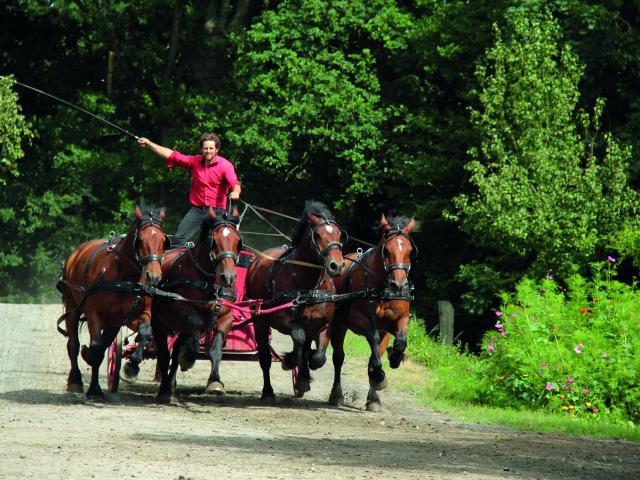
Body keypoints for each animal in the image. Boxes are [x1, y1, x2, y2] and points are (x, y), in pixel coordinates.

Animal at [57, 203, 169, 402]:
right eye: (140, 240)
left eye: (163, 241)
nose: (154, 276)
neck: (124, 276)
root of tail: (76, 252)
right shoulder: (95, 314)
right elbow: (94, 348)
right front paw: (93, 386)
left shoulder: (132, 316)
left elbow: (145, 332)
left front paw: (132, 365)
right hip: (72, 307)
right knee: (73, 345)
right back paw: (75, 380)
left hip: (112, 323)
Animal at [151, 206, 241, 402]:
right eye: (214, 241)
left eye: (238, 241)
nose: (228, 277)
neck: (210, 282)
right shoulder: (181, 307)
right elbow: (196, 323)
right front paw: (188, 358)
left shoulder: (225, 317)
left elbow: (215, 349)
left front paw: (215, 382)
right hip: (159, 323)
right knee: (165, 353)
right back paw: (164, 388)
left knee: (175, 351)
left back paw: (170, 384)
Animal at [245, 201, 344, 404]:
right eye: (318, 235)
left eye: (339, 234)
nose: (336, 265)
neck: (309, 287)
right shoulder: (281, 320)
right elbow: (298, 336)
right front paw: (289, 361)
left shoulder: (324, 324)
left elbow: (318, 357)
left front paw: (305, 371)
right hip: (260, 320)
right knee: (265, 358)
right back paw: (268, 392)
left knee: (305, 348)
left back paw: (302, 378)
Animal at [330, 216, 416, 410]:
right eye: (387, 250)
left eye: (409, 251)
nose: (398, 286)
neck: (382, 289)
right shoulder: (359, 320)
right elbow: (373, 338)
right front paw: (379, 376)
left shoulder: (399, 320)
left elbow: (399, 342)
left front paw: (394, 358)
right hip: (338, 325)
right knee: (338, 357)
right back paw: (336, 394)